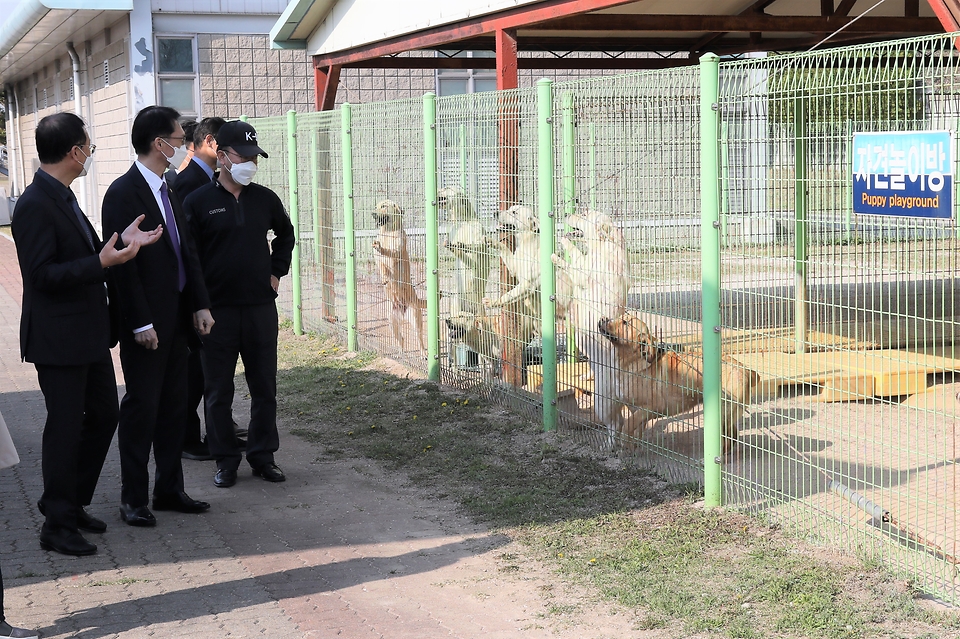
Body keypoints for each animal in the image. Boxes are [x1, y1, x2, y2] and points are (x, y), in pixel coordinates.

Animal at [596, 312, 760, 452]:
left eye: (625, 323)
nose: (603, 319)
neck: (632, 360)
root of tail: (744, 369)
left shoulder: (651, 407)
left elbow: (628, 425)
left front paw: (625, 442)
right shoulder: (635, 409)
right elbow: (636, 429)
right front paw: (631, 445)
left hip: (721, 413)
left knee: (730, 437)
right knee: (733, 435)